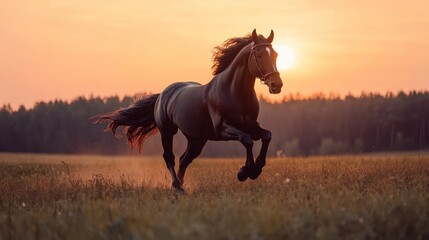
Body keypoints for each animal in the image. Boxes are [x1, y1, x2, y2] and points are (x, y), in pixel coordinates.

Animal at [92, 29, 282, 191]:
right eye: (259, 55)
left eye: (275, 54)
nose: (276, 85)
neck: (233, 92)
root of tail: (163, 94)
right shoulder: (223, 129)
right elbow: (247, 140)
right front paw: (245, 172)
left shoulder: (251, 125)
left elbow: (266, 135)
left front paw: (256, 169)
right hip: (168, 131)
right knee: (170, 157)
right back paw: (177, 186)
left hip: (196, 138)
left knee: (184, 159)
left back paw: (180, 185)